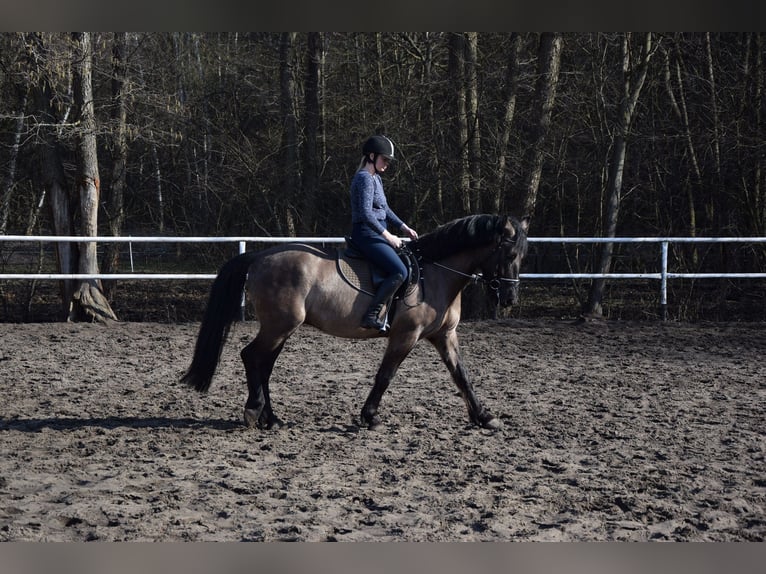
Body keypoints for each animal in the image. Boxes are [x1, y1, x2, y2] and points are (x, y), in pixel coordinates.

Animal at [180, 213, 530, 430]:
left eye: (521, 256)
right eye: (510, 255)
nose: (510, 299)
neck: (436, 274)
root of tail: (258, 256)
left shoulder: (445, 335)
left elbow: (462, 376)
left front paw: (484, 417)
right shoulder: (405, 335)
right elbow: (385, 376)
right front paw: (369, 416)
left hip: (281, 328)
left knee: (263, 364)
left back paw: (271, 418)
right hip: (279, 325)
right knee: (252, 357)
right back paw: (255, 411)